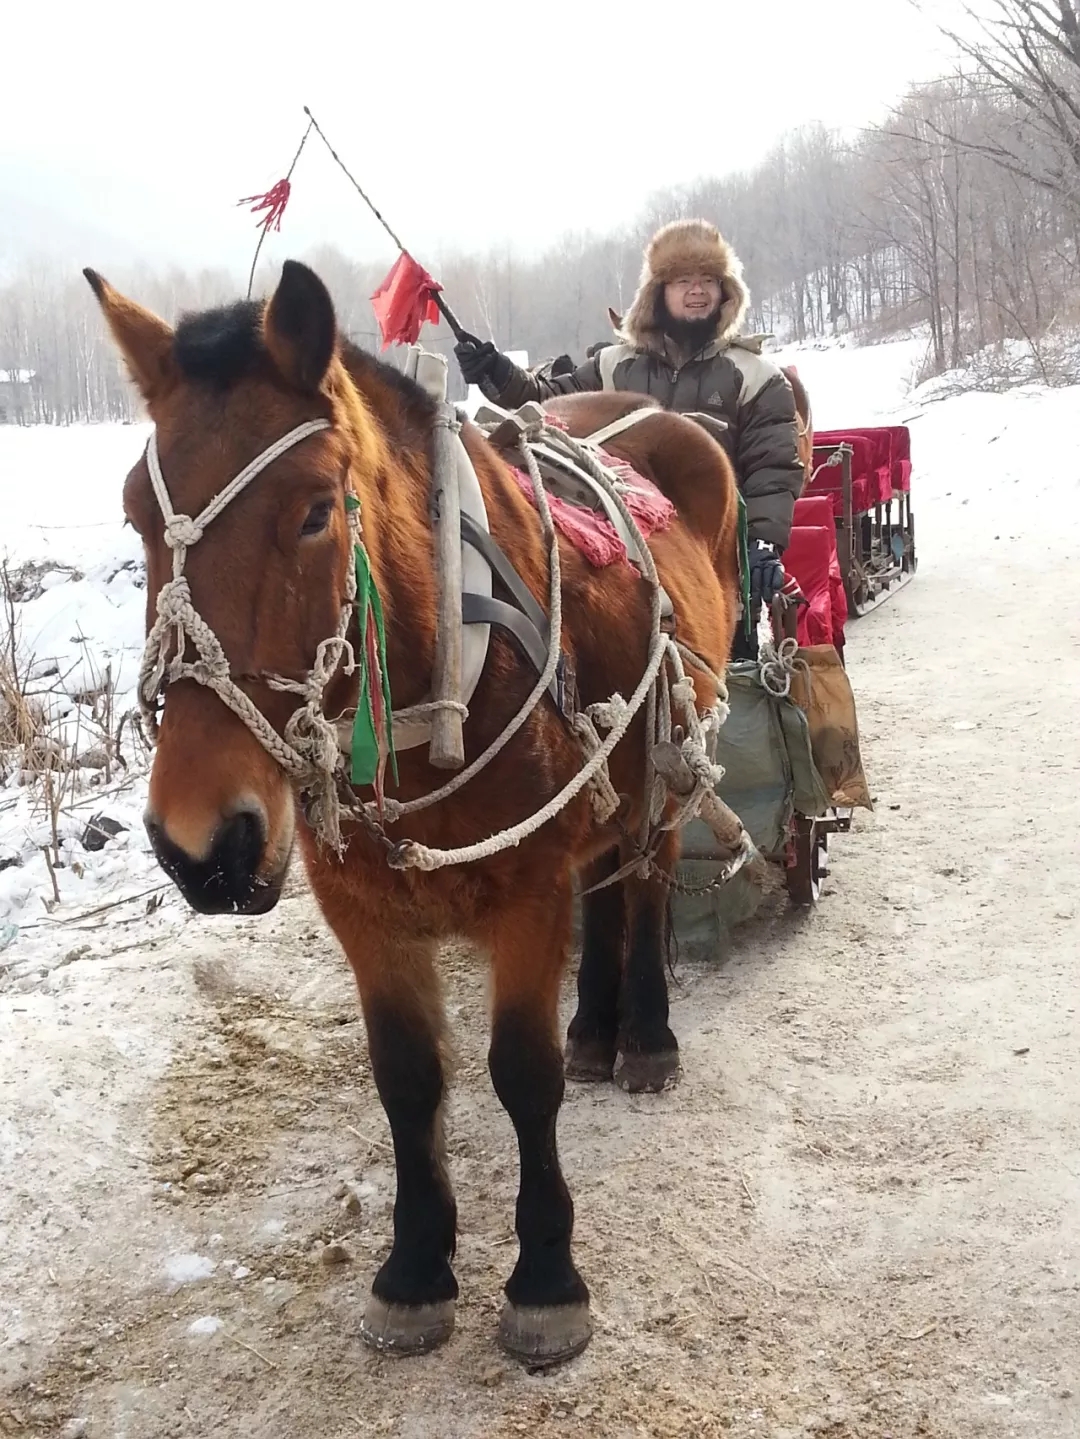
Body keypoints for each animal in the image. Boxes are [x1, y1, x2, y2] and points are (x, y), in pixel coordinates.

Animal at [86, 259, 742, 1369]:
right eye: (137, 512)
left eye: (316, 510)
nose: (201, 844)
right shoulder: (362, 907)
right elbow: (406, 1077)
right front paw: (416, 1266)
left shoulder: (525, 886)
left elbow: (519, 1071)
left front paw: (545, 1276)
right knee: (607, 887)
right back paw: (597, 1026)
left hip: (665, 753)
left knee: (645, 881)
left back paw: (644, 1033)